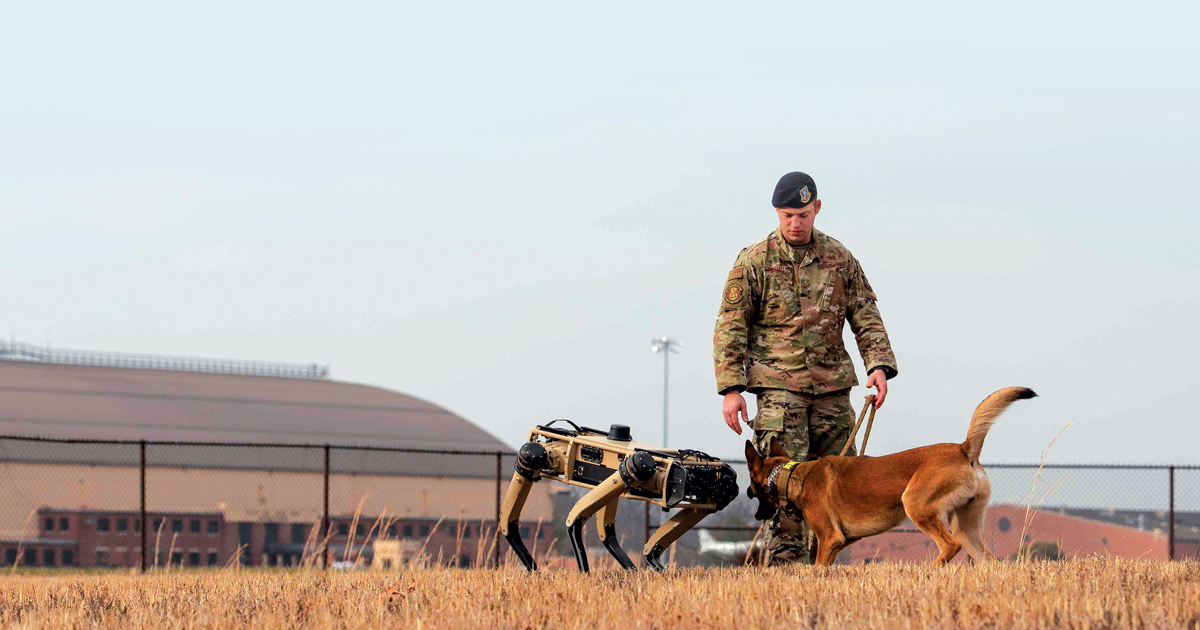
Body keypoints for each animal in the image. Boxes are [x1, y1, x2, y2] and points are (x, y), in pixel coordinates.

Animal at [744, 386, 1036, 561]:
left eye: (751, 485)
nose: (745, 491)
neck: (793, 475)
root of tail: (963, 449)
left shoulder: (829, 539)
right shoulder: (842, 542)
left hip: (917, 505)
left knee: (950, 546)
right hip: (967, 526)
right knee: (990, 561)